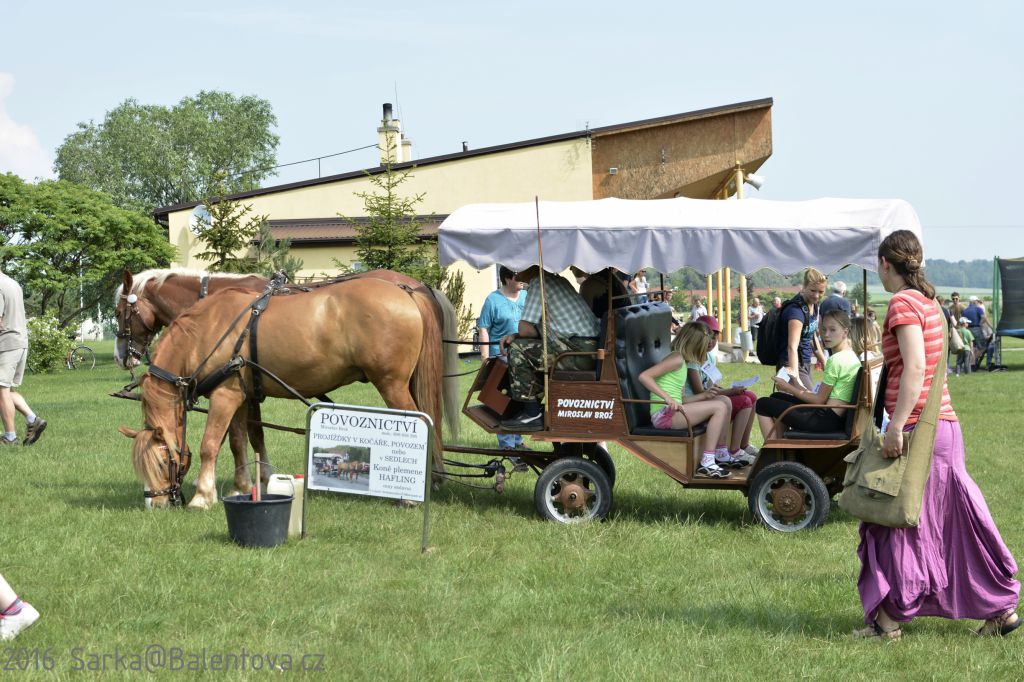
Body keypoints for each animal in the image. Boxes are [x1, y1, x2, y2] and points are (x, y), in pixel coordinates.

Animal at [119, 277, 455, 509]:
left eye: (161, 463)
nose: (154, 502)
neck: (206, 330)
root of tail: (406, 291)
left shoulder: (225, 396)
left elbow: (210, 444)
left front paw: (202, 496)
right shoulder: (239, 394)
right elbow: (240, 441)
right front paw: (242, 486)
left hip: (391, 384)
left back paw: (410, 495)